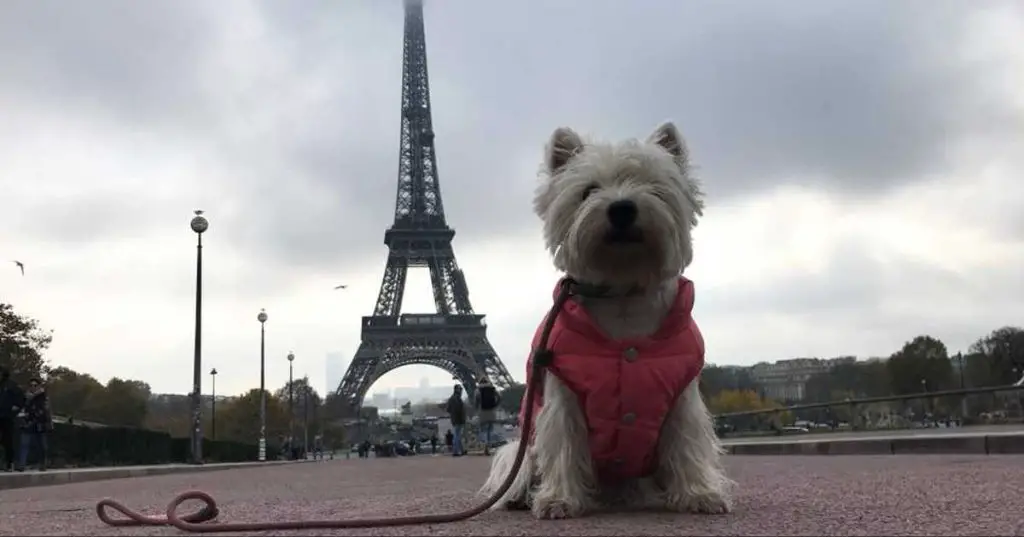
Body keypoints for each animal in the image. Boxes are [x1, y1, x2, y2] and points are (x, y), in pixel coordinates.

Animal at [475, 122, 733, 520]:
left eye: (653, 186)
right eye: (588, 191)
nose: (622, 208)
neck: (622, 295)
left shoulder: (681, 396)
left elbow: (687, 443)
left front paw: (699, 493)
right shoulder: (563, 394)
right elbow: (564, 444)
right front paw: (559, 499)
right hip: (522, 449)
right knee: (520, 468)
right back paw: (522, 497)